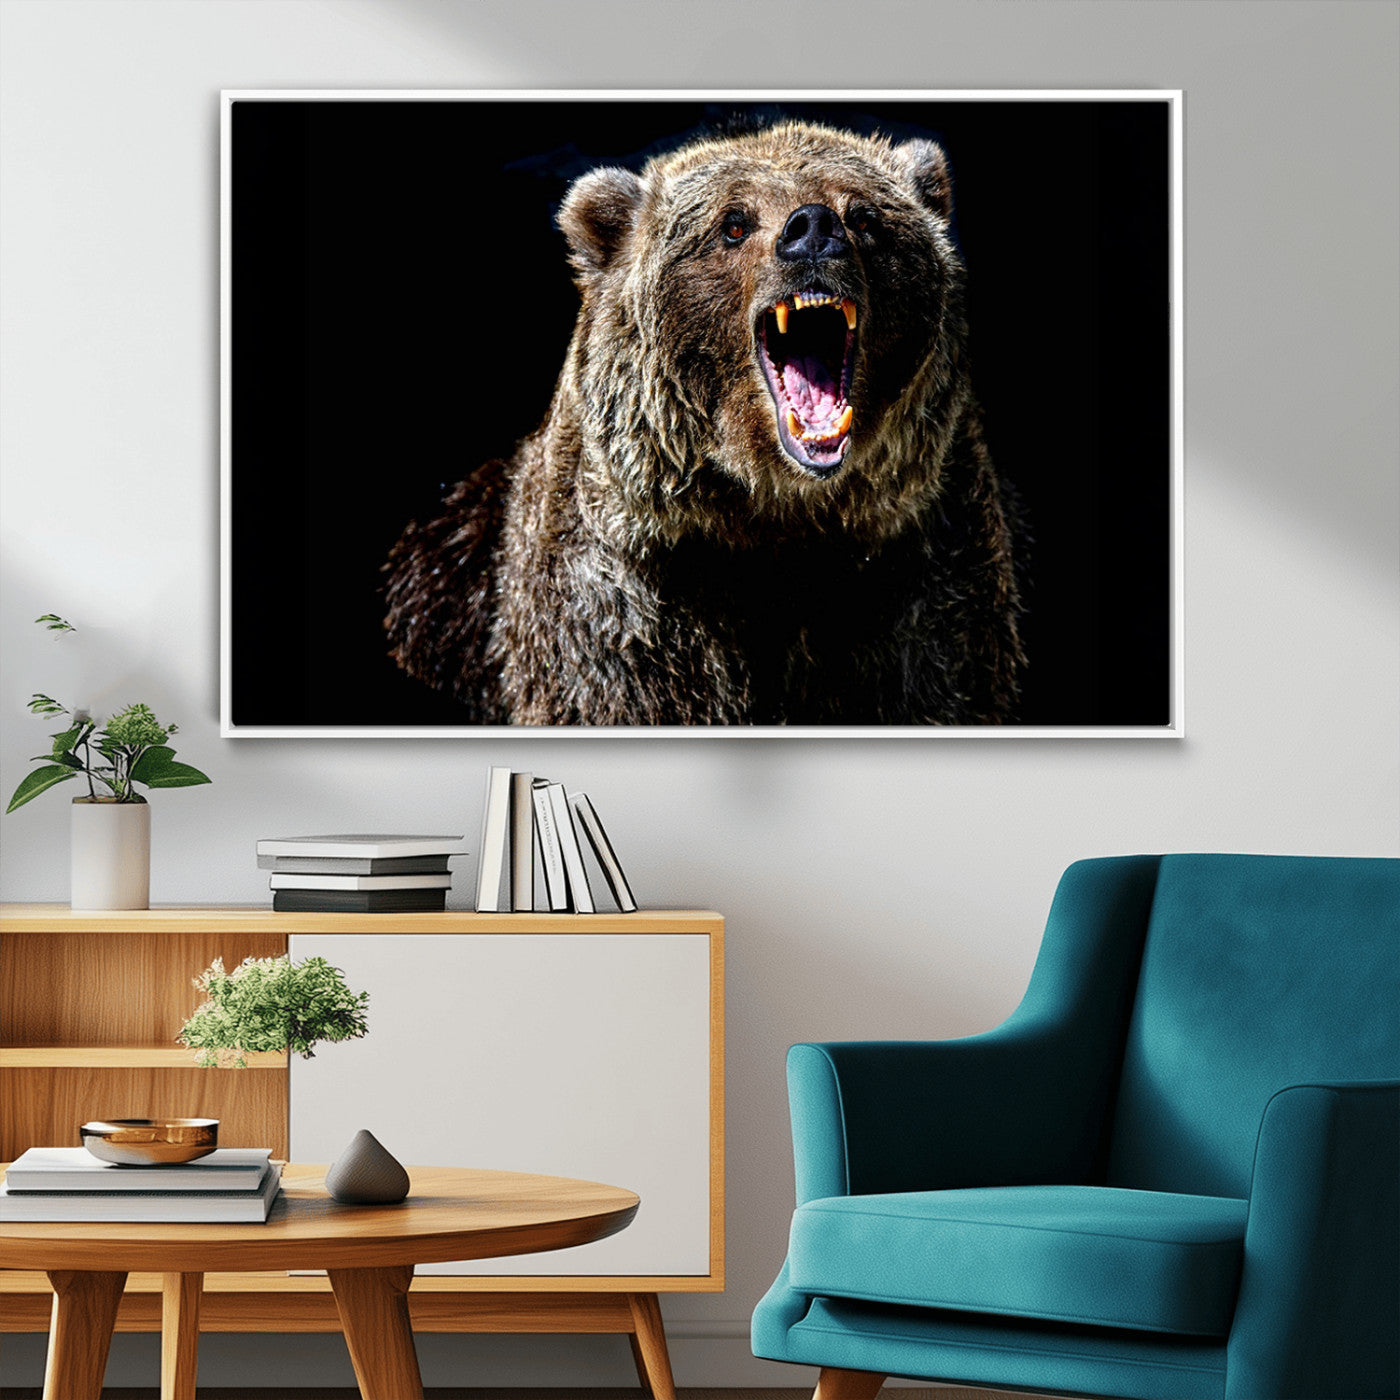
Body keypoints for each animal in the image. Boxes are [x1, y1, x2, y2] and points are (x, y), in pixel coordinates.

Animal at [383, 120, 1025, 726]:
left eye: (864, 216)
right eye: (733, 223)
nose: (813, 229)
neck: (776, 520)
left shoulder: (919, 585)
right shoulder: (627, 611)